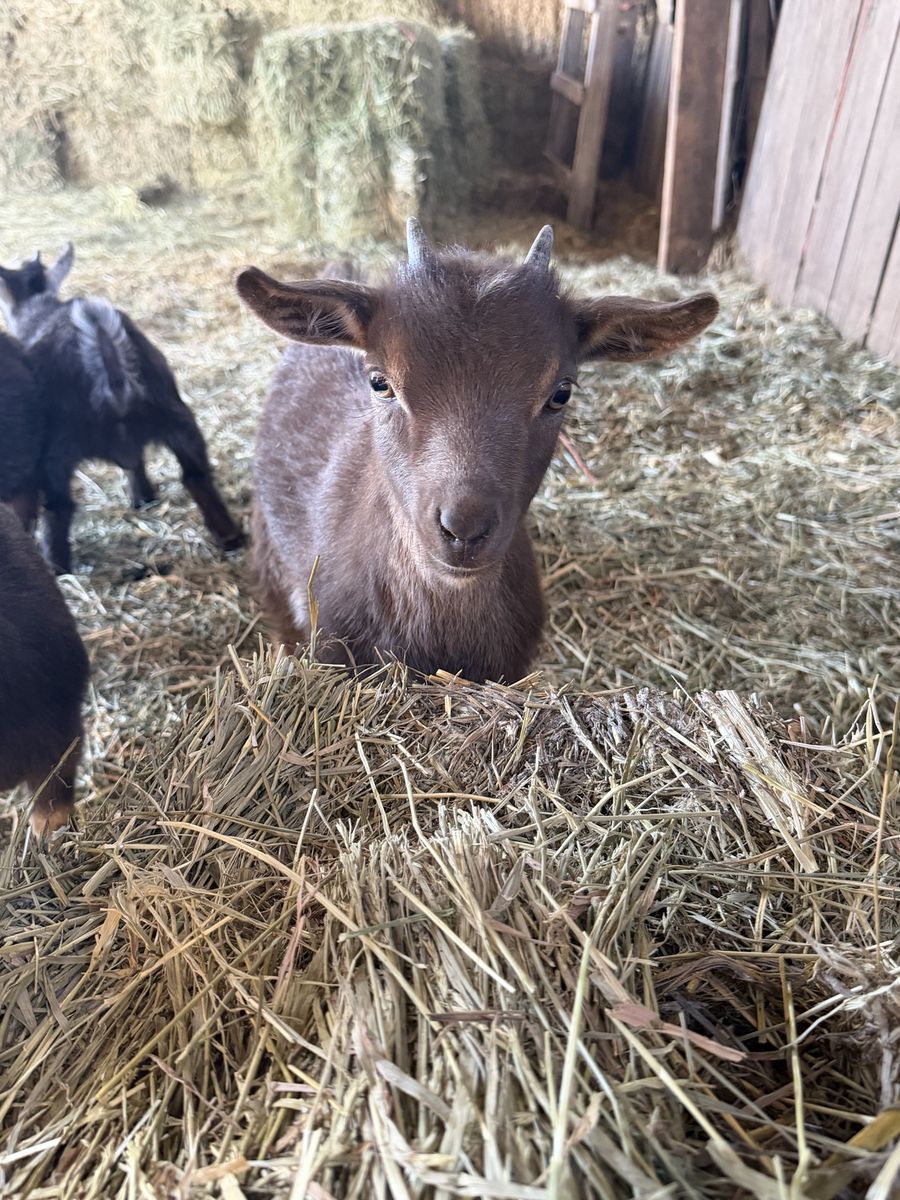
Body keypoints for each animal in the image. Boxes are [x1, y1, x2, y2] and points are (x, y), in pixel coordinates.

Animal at [0, 245, 244, 574]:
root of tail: (109, 362)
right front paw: (143, 497)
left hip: (57, 451)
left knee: (59, 506)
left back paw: (57, 566)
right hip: (178, 420)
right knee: (196, 475)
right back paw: (229, 536)